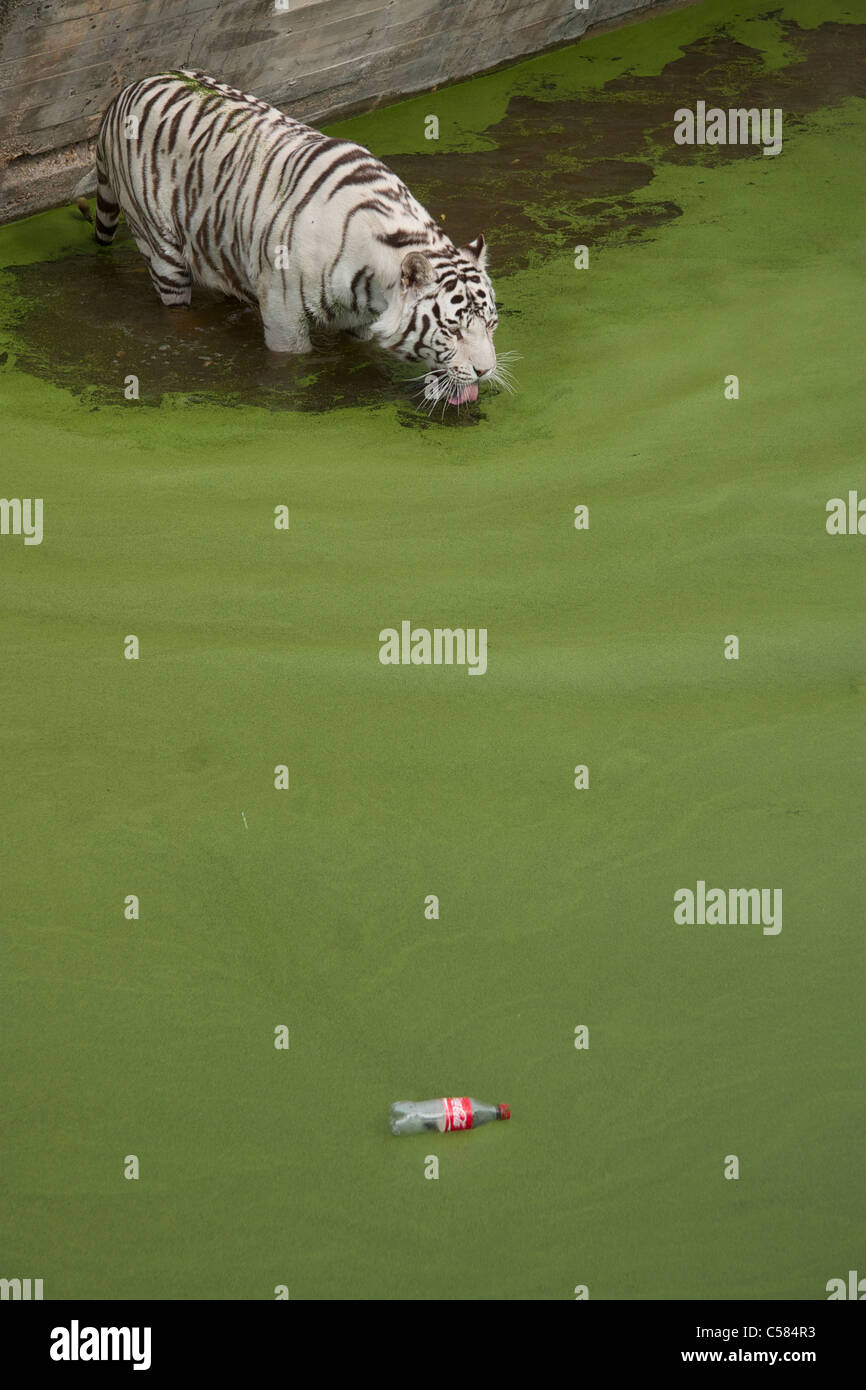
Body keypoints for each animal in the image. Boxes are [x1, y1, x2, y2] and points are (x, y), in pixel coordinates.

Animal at [72, 69, 508, 405]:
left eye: (491, 325)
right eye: (452, 330)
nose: (485, 371)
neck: (372, 283)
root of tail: (126, 90)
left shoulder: (360, 319)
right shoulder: (284, 313)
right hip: (161, 248)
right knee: (175, 307)